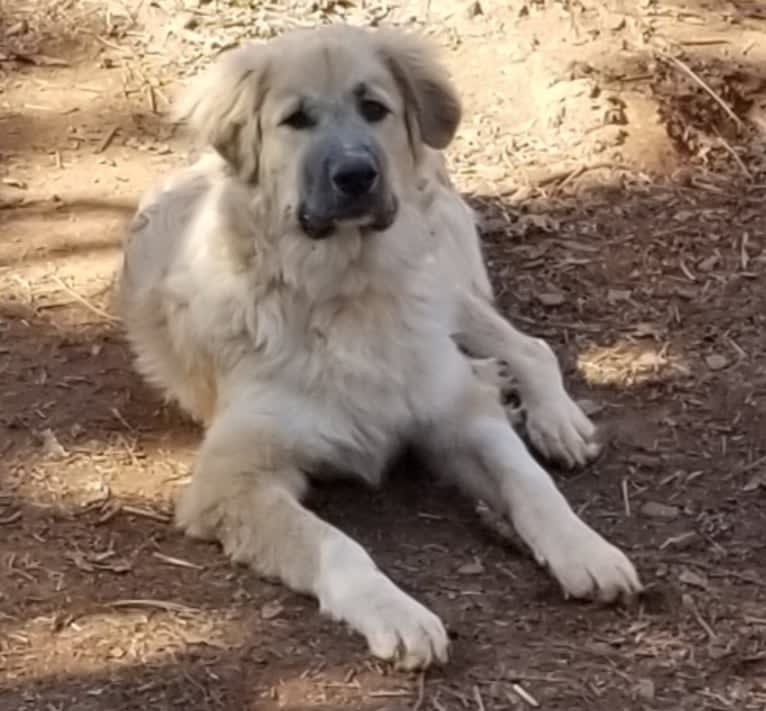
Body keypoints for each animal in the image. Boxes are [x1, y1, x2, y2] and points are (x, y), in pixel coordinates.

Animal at [117, 25, 644, 672]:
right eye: (296, 120)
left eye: (374, 108)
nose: (356, 175)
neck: (346, 295)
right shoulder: (231, 480)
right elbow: (336, 545)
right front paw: (398, 613)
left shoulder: (457, 418)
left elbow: (530, 482)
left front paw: (585, 549)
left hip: (443, 289)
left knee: (529, 347)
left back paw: (556, 418)